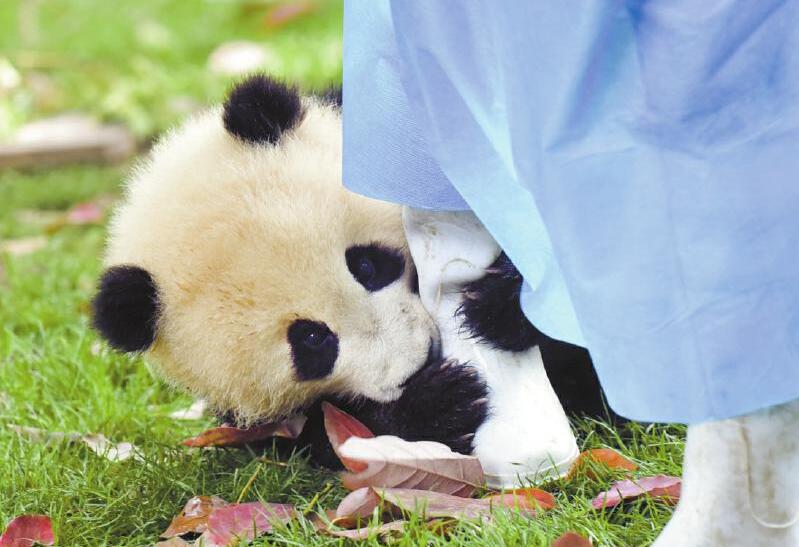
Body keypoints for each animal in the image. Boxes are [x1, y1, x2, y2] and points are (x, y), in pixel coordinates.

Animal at [92, 74, 615, 468]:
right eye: (312, 340)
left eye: (365, 264)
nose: (420, 358)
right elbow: (324, 437)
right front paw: (442, 401)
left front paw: (500, 307)